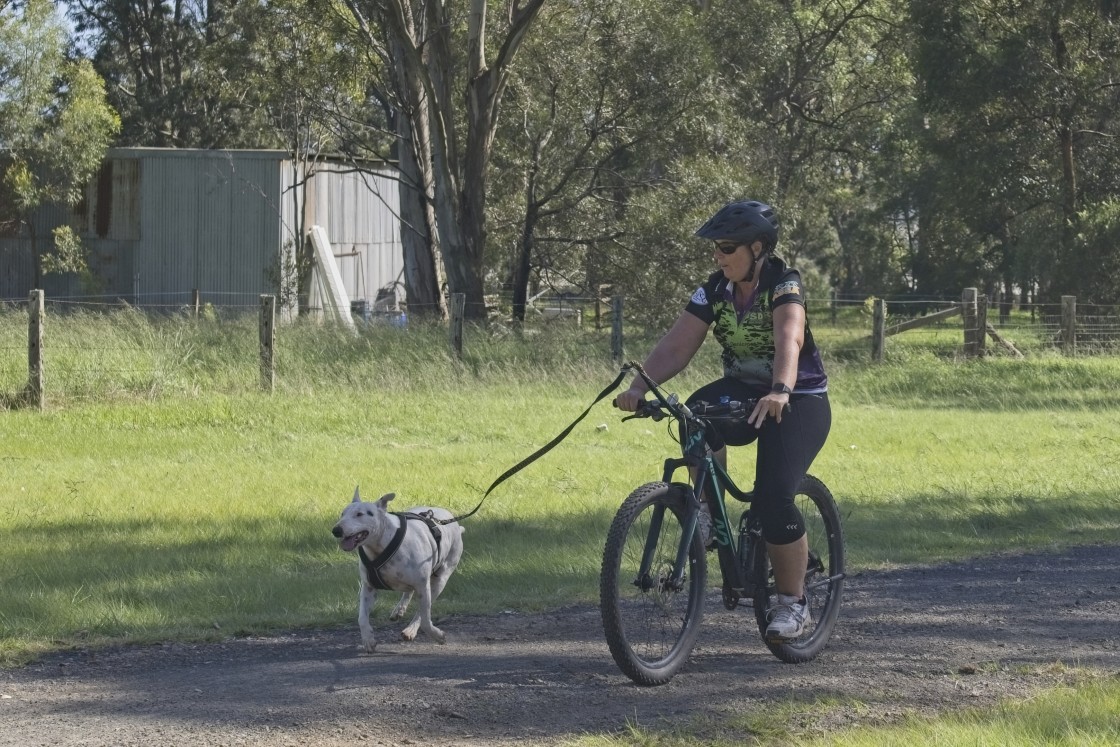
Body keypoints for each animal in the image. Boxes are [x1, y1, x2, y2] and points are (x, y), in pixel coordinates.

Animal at [327, 488, 463, 649]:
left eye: (360, 514)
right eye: (342, 514)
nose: (336, 530)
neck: (381, 545)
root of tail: (450, 518)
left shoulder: (423, 586)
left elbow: (424, 618)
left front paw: (438, 635)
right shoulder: (368, 587)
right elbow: (362, 618)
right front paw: (368, 639)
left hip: (441, 577)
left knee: (422, 607)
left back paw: (410, 630)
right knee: (408, 591)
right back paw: (399, 609)